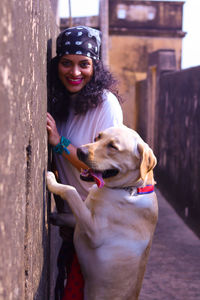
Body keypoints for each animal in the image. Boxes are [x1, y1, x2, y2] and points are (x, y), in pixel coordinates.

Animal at [47, 125, 158, 298]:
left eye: (113, 147)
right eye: (98, 137)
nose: (80, 151)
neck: (131, 189)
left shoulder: (95, 231)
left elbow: (71, 192)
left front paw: (51, 181)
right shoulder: (87, 214)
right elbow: (72, 213)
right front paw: (56, 217)